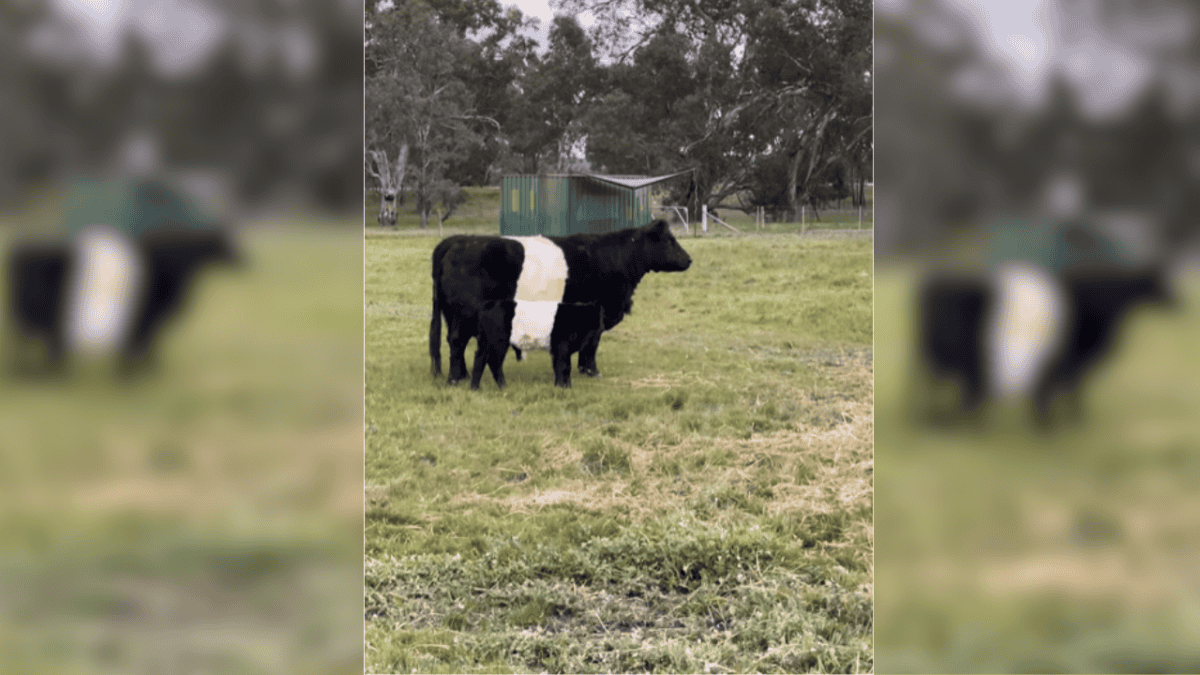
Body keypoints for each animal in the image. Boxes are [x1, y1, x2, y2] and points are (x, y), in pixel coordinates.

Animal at [6, 224, 239, 376]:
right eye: (229, 244)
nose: (245, 261)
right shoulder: (145, 318)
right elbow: (142, 345)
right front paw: (137, 375)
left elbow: (145, 346)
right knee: (39, 343)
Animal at [471, 299, 605, 390]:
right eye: (590, 319)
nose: (599, 330)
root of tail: (490, 304)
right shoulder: (562, 347)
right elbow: (563, 366)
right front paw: (562, 387)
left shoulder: (558, 350)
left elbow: (561, 367)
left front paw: (564, 386)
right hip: (499, 342)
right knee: (494, 362)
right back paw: (503, 387)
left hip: (484, 342)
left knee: (480, 358)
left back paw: (475, 388)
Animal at [917, 262, 1175, 427]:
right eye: (1161, 282)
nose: (1179, 303)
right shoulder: (1065, 362)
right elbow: (1060, 390)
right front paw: (1056, 423)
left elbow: (1062, 390)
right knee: (944, 388)